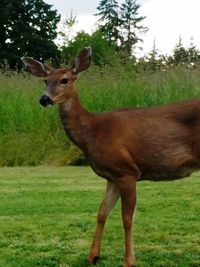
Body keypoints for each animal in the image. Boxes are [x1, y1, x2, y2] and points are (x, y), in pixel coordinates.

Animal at [21, 47, 200, 267]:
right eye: (45, 80)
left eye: (64, 80)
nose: (44, 99)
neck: (92, 132)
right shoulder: (112, 176)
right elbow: (102, 212)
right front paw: (93, 256)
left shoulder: (127, 171)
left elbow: (127, 218)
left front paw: (129, 260)